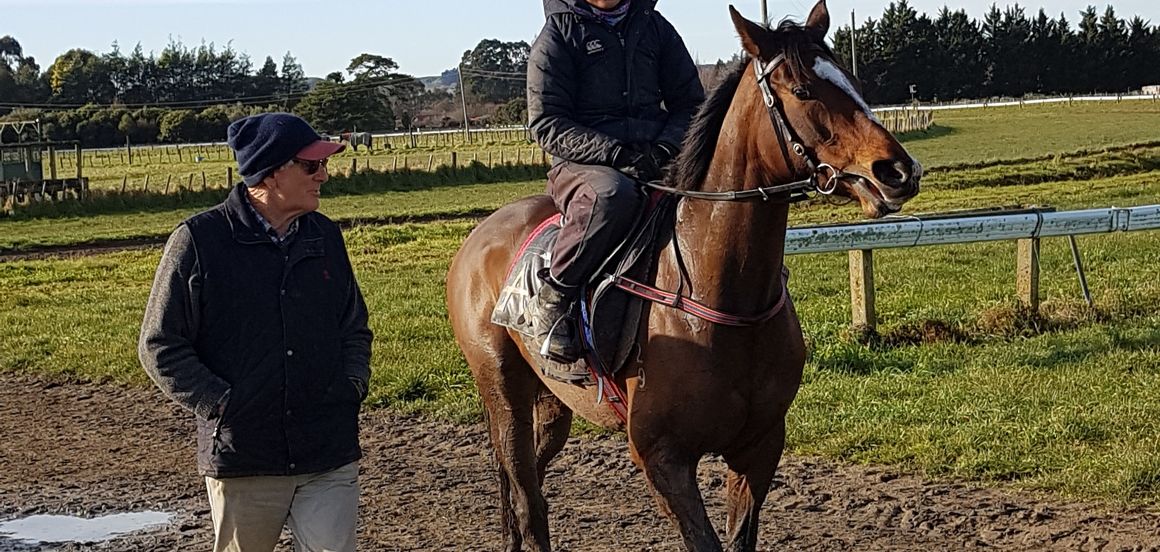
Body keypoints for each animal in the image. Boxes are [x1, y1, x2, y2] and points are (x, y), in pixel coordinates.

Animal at [445, 2, 923, 549]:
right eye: (804, 90)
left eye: (852, 80)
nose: (898, 171)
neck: (720, 296)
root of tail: (479, 236)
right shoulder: (663, 459)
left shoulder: (759, 447)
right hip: (502, 389)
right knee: (525, 496)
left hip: (552, 402)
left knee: (530, 490)